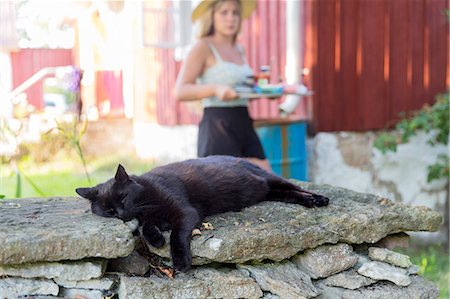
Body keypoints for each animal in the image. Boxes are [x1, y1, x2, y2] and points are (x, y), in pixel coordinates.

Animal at [75, 156, 328, 274]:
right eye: (109, 211)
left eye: (124, 198)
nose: (121, 213)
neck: (147, 203)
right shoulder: (148, 219)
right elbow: (146, 228)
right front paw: (156, 238)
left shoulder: (185, 212)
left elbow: (177, 234)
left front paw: (180, 261)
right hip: (269, 191)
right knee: (288, 194)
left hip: (271, 179)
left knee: (297, 188)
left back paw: (318, 200)